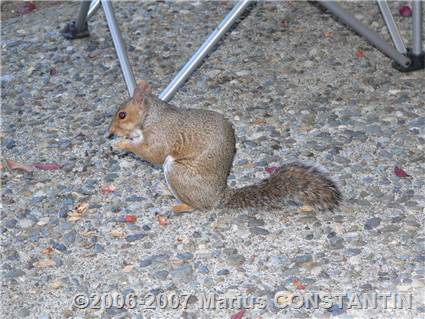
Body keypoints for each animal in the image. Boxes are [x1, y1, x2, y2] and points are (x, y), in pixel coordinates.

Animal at [109, 80, 342, 212]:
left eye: (122, 115)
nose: (109, 133)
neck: (151, 116)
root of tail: (220, 196)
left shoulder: (162, 134)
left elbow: (153, 153)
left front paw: (122, 144)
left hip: (177, 172)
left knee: (200, 207)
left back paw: (181, 206)